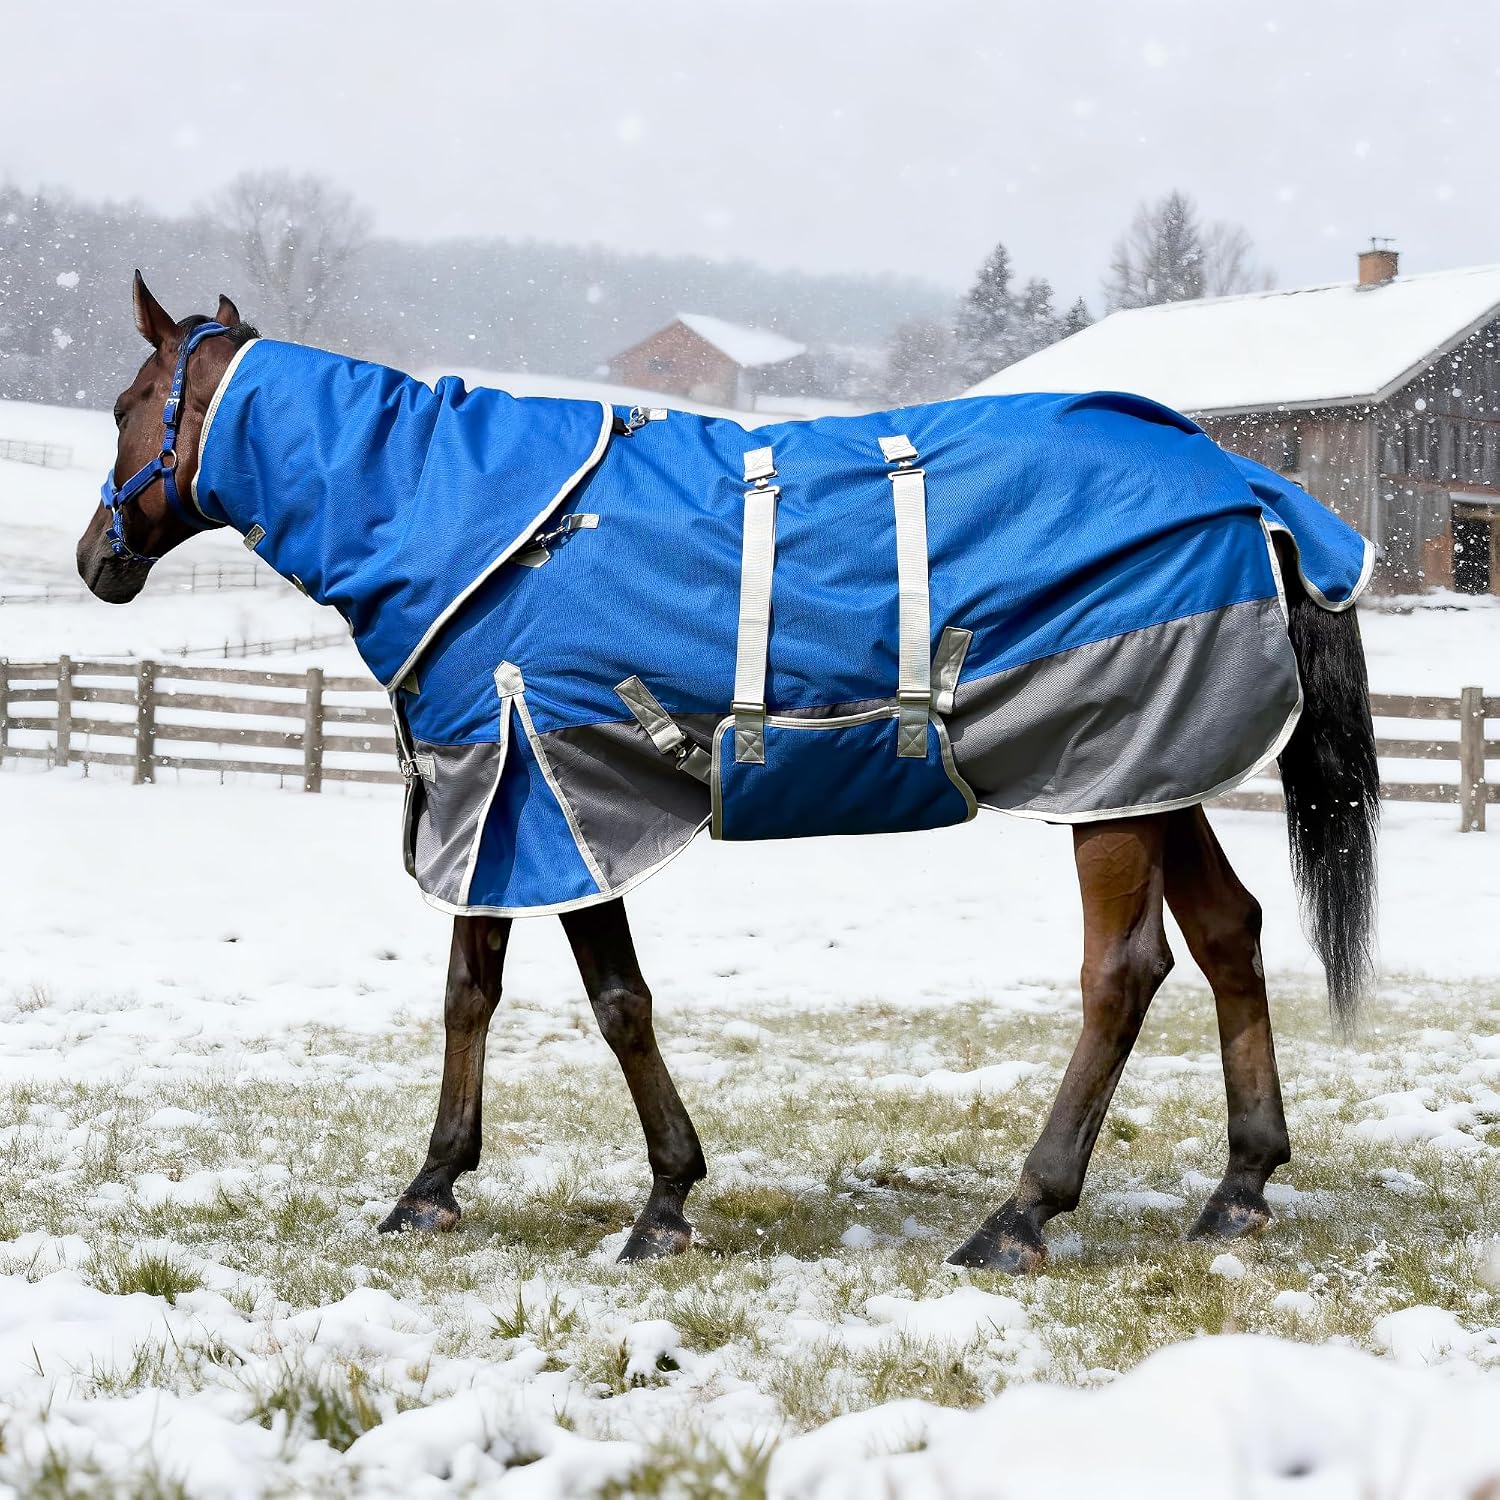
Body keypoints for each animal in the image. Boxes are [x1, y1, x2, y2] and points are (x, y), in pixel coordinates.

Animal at [75, 273, 1380, 1273]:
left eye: (131, 403)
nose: (97, 559)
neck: (465, 525)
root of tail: (1244, 484)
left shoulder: (550, 794)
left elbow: (615, 1003)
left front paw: (661, 1201)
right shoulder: (492, 799)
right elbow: (470, 993)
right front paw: (434, 1184)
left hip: (1106, 777)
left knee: (1124, 972)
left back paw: (1021, 1214)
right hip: (1149, 773)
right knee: (1229, 934)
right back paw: (1240, 1187)